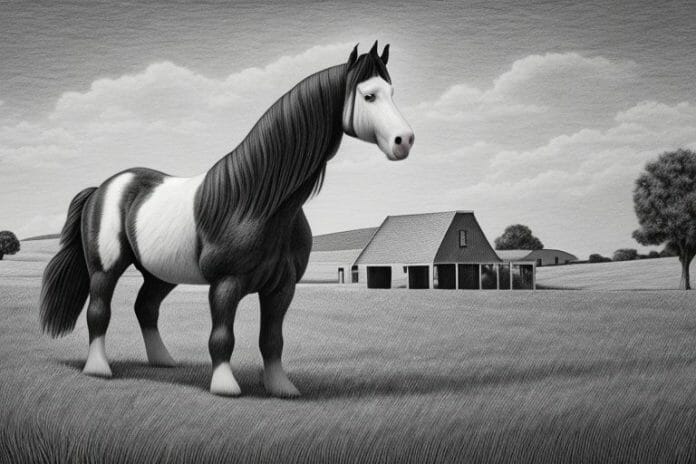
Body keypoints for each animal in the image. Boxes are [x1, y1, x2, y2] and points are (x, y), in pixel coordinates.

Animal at [39, 41, 414, 398]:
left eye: (393, 91)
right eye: (368, 95)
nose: (405, 141)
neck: (258, 203)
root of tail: (103, 187)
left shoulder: (282, 288)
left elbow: (272, 339)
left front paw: (281, 387)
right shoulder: (225, 284)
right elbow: (222, 336)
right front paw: (224, 385)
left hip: (160, 273)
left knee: (146, 307)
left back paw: (163, 361)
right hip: (105, 268)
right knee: (99, 311)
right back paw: (99, 368)